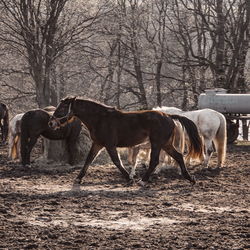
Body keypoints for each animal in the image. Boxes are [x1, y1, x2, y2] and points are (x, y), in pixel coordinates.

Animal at [48, 96, 203, 185]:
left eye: (63, 107)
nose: (51, 123)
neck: (100, 119)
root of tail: (169, 116)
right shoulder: (98, 144)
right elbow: (88, 160)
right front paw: (78, 178)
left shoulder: (109, 145)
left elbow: (117, 161)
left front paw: (129, 178)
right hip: (166, 144)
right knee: (179, 156)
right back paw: (190, 178)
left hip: (157, 143)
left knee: (154, 161)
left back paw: (142, 181)